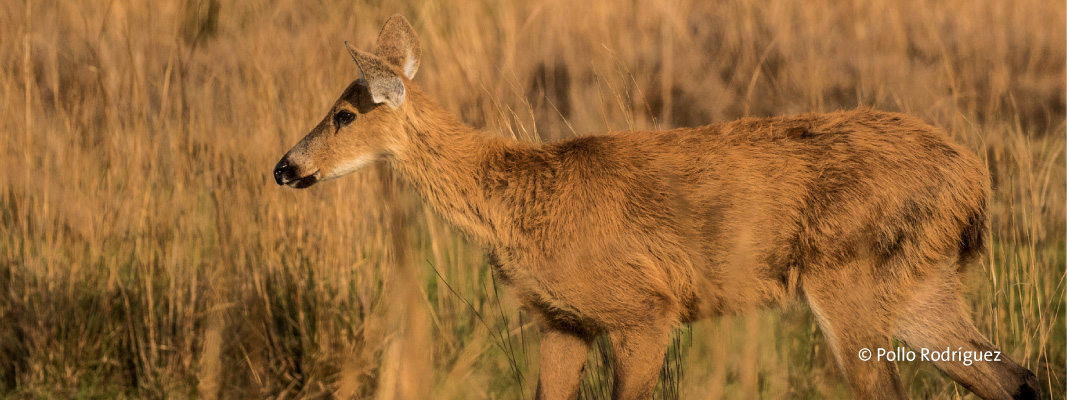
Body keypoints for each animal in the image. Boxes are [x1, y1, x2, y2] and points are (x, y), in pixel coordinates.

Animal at [273, 15, 1040, 400]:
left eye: (344, 115)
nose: (285, 167)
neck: (520, 201)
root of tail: (973, 176)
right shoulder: (562, 320)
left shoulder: (645, 306)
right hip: (918, 282)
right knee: (1016, 377)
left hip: (847, 273)